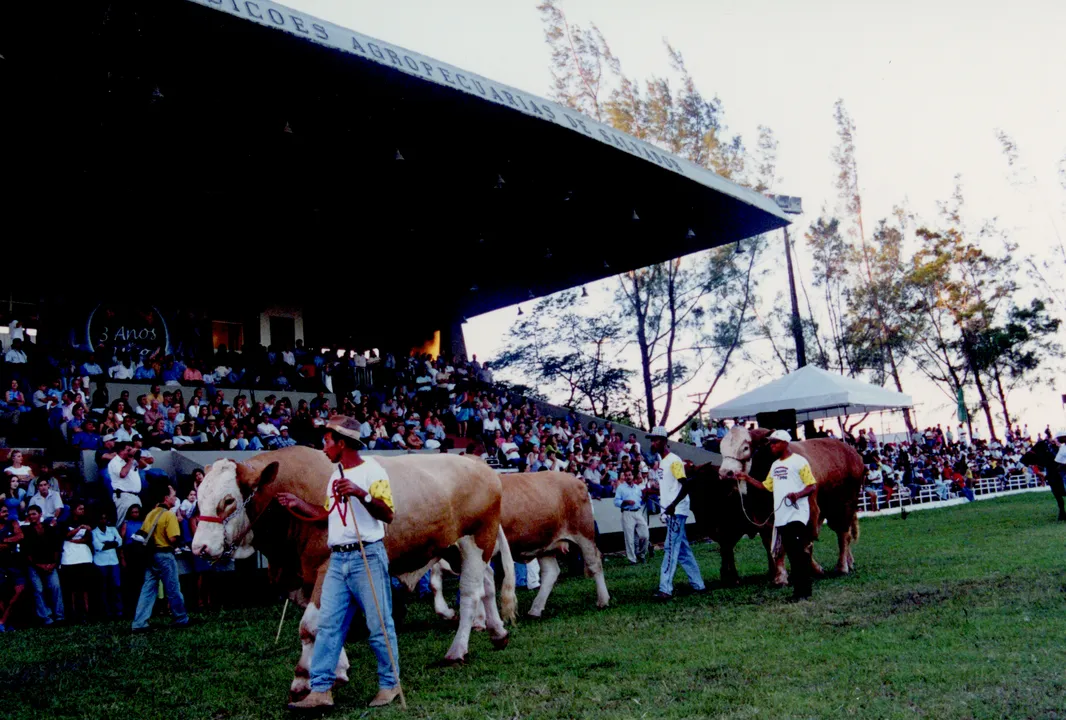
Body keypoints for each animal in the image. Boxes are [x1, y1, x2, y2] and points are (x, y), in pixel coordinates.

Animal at [196, 448, 520, 699]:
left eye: (228, 500)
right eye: (197, 498)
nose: (199, 547)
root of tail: (479, 464)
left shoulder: (325, 567)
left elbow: (310, 626)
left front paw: (302, 679)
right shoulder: (300, 579)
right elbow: (328, 622)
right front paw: (337, 670)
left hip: (476, 540)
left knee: (469, 594)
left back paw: (457, 650)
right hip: (458, 548)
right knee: (487, 584)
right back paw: (498, 632)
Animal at [426, 473, 609, 618]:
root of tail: (575, 479)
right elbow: (435, 581)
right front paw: (445, 612)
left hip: (584, 533)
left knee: (594, 563)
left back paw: (603, 600)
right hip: (545, 544)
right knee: (551, 572)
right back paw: (535, 609)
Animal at [686, 428, 861, 584]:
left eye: (745, 447)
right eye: (722, 449)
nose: (725, 473)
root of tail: (851, 451)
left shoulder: (810, 513)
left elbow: (805, 543)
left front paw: (812, 570)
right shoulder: (763, 519)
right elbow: (773, 546)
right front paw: (779, 576)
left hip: (844, 506)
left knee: (843, 534)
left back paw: (843, 566)